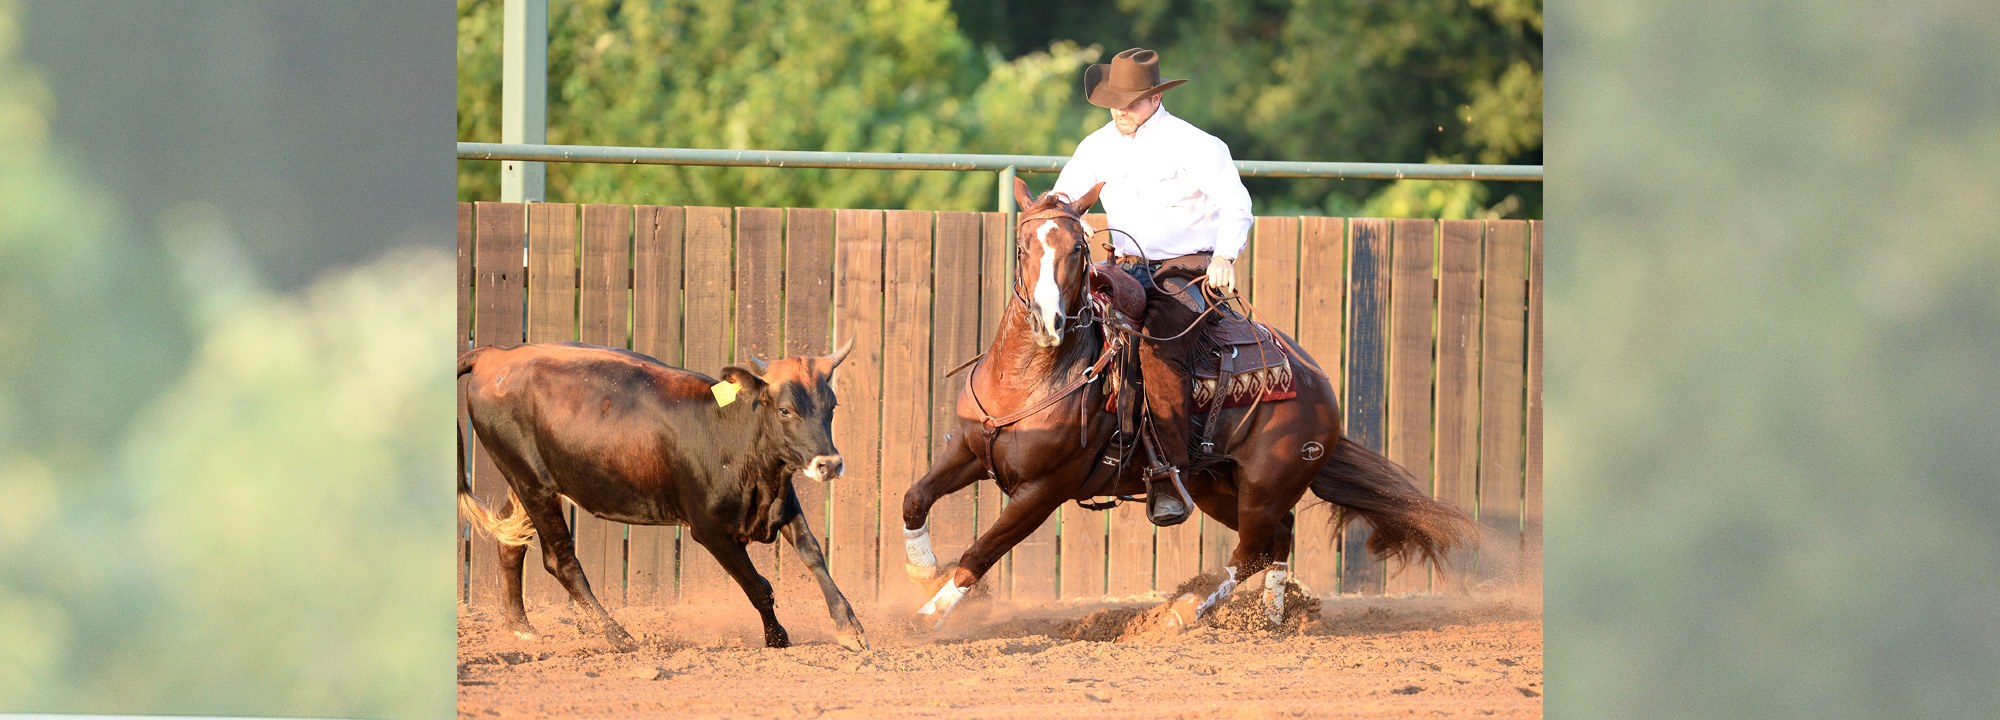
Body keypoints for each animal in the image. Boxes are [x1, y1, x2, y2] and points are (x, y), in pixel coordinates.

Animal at [458, 338, 864, 652]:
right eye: (784, 410)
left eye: (831, 407)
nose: (829, 463)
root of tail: (495, 355)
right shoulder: (711, 532)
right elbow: (759, 586)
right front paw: (778, 639)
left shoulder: (784, 505)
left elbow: (813, 553)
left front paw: (849, 628)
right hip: (532, 484)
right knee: (561, 561)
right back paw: (619, 637)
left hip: (528, 483)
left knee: (511, 543)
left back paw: (521, 628)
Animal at [900, 177, 1480, 628]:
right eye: (1024, 247)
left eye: (1079, 250)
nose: (1049, 322)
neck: (1031, 378)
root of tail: (1317, 381)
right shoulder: (970, 451)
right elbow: (915, 497)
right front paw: (920, 570)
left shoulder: (1043, 491)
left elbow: (983, 549)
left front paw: (926, 617)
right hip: (1216, 485)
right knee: (1278, 537)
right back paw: (1270, 619)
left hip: (1267, 483)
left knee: (1249, 552)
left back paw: (1184, 614)